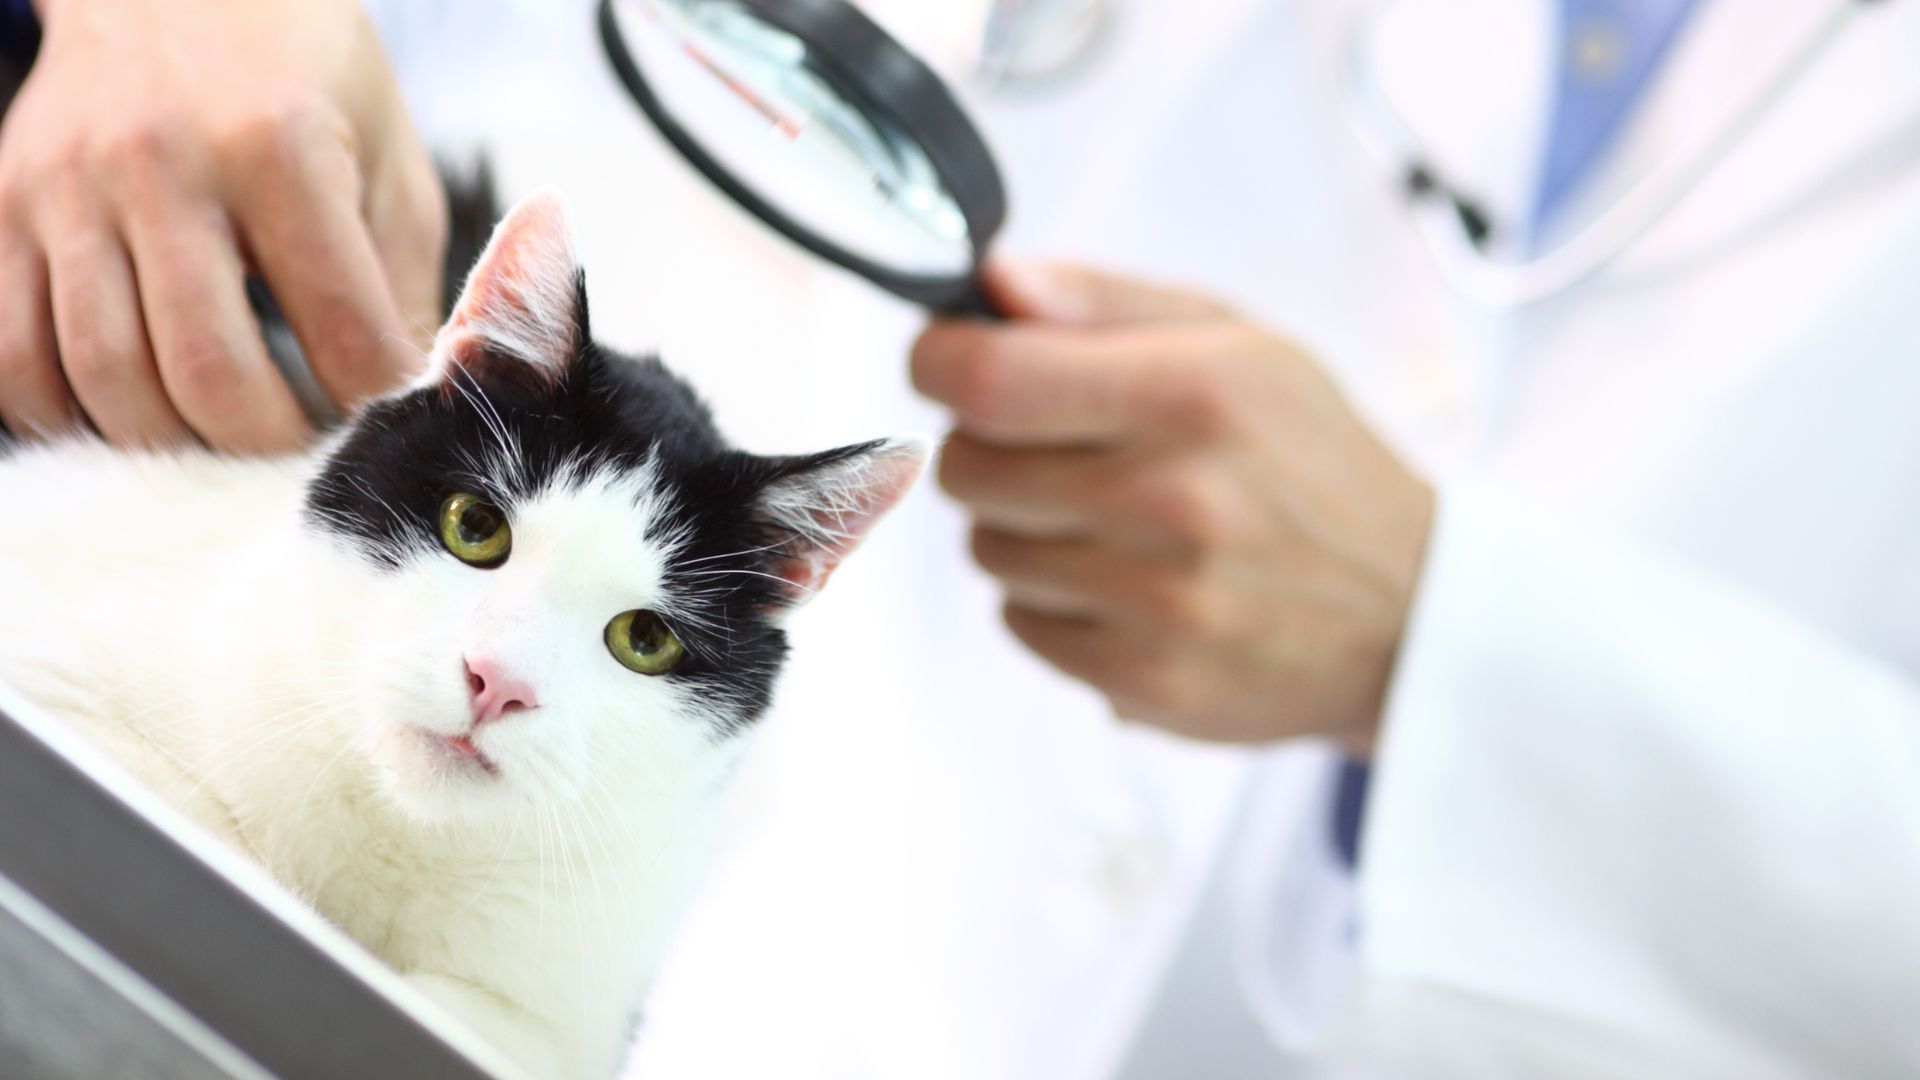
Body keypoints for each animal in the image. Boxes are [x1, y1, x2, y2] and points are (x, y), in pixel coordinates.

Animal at [0, 189, 929, 1068]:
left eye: (644, 640)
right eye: (474, 528)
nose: (498, 681)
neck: (398, 829)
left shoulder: (556, 1018)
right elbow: (199, 816)